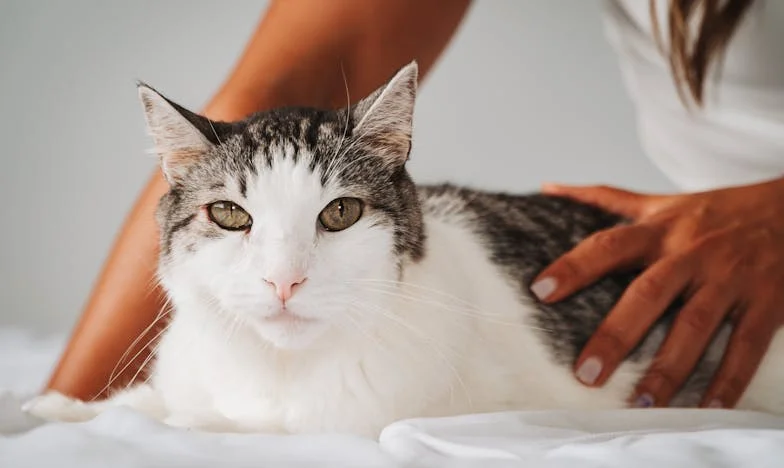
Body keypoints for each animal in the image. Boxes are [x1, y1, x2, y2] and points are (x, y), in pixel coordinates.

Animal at [23, 60, 784, 436]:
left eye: (340, 213)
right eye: (230, 215)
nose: (283, 281)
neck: (277, 372)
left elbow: (191, 421)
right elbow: (145, 403)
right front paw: (54, 406)